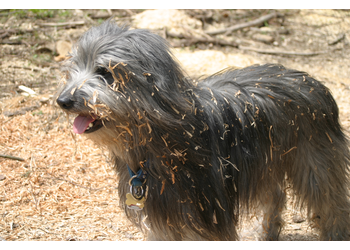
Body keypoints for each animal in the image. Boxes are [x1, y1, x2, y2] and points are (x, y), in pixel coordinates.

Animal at [55, 20, 350, 240]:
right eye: (74, 68)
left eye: (104, 71)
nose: (63, 100)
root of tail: (312, 81)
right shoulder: (163, 215)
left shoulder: (206, 215)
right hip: (265, 163)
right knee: (275, 196)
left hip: (315, 164)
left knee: (333, 207)